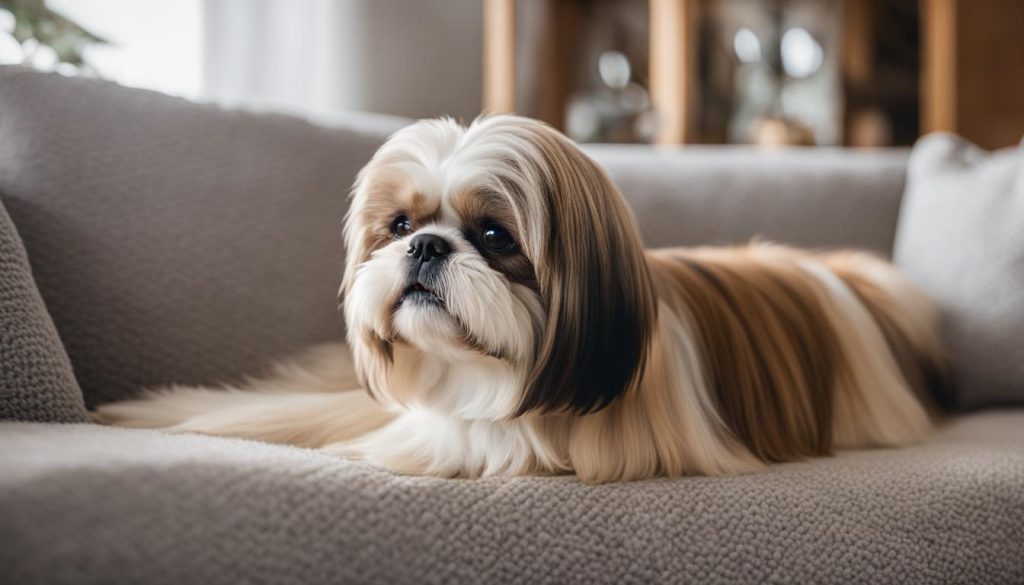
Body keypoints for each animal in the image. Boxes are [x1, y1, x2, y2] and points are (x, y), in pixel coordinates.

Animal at [92, 115, 946, 485]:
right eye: (400, 225)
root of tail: (842, 281)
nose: (427, 247)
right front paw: (160, 412)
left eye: (496, 235)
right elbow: (284, 410)